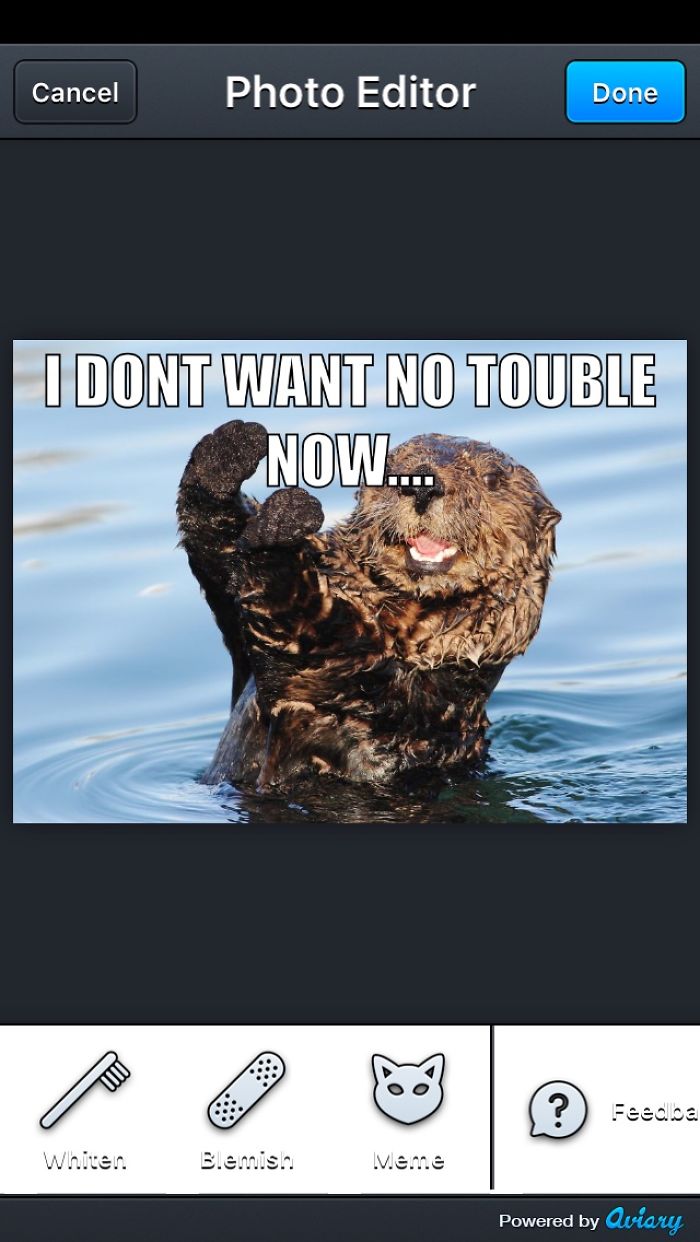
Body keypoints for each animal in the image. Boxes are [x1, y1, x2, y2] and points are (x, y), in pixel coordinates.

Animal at [177, 420, 560, 790]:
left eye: (492, 479)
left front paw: (280, 525)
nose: (423, 486)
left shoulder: (366, 682)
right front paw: (228, 453)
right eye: (390, 469)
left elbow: (302, 621)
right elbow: (219, 558)